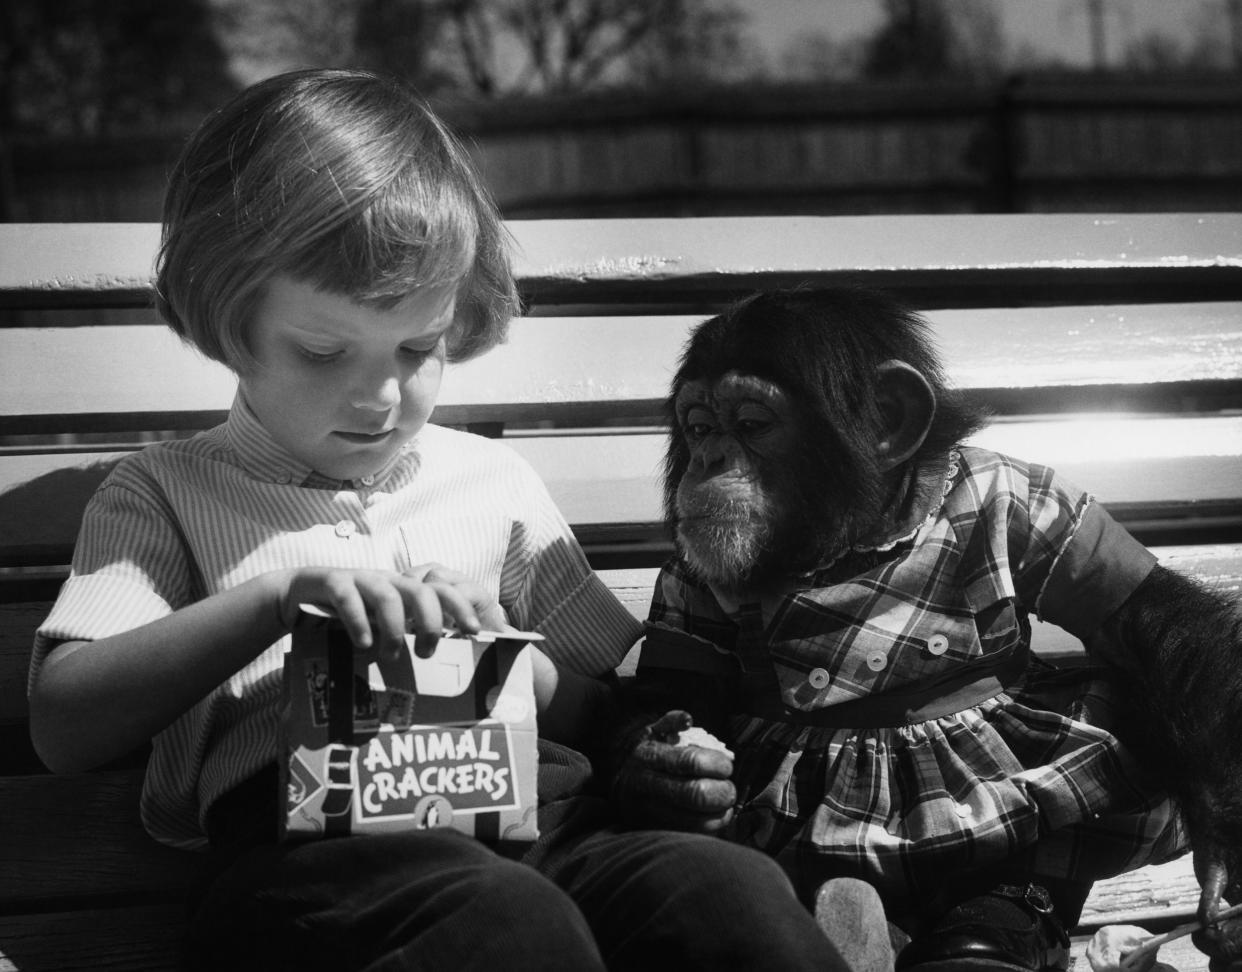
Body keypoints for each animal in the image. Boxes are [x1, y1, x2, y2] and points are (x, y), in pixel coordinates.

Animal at [608, 289, 1242, 972]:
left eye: (752, 424)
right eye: (699, 426)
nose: (709, 458)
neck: (859, 541)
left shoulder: (1031, 495)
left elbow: (1141, 619)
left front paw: (1222, 853)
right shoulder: (688, 577)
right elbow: (681, 688)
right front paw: (667, 775)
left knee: (1102, 704)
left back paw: (993, 920)